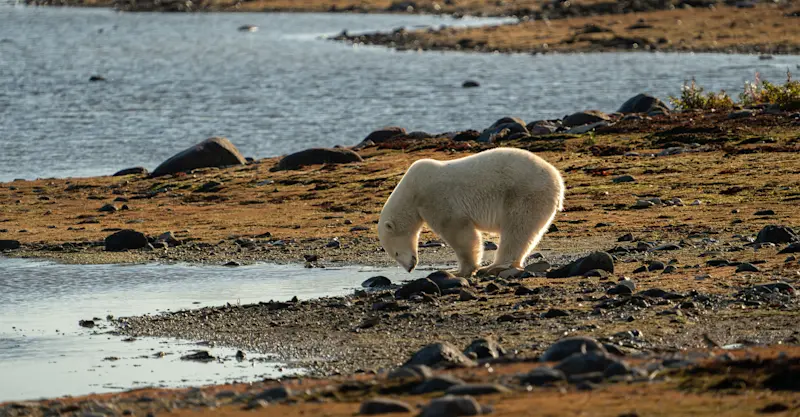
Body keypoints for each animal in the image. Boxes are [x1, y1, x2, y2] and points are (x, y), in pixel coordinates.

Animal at [378, 147, 565, 277]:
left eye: (395, 253)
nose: (410, 268)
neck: (412, 191)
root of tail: (558, 181)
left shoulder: (435, 198)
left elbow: (458, 231)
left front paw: (459, 270)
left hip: (523, 195)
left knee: (517, 229)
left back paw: (493, 267)